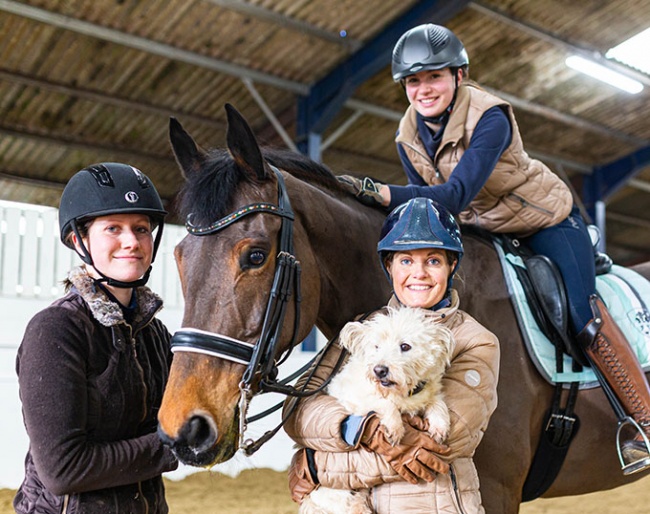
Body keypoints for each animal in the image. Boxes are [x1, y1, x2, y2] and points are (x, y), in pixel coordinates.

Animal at [300, 306, 456, 510]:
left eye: (405, 346)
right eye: (376, 347)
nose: (379, 370)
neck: (403, 393)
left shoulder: (428, 392)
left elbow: (437, 402)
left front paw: (439, 426)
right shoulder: (353, 397)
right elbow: (384, 404)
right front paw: (394, 429)